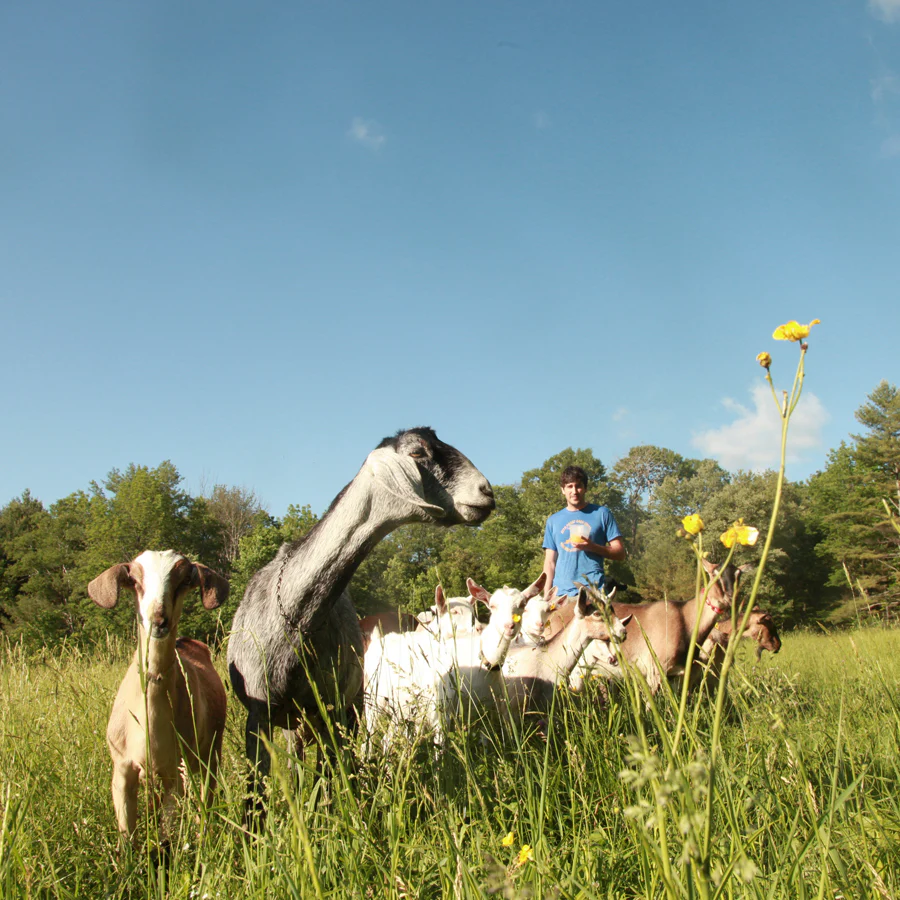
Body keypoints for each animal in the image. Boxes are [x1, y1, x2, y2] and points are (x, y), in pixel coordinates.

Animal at [88, 550, 229, 847]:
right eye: (134, 580)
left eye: (184, 580)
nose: (158, 620)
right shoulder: (122, 769)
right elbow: (126, 836)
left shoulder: (171, 770)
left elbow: (165, 835)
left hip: (208, 752)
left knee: (204, 795)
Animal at [227, 427, 494, 816]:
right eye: (418, 452)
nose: (486, 491)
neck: (296, 619)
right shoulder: (257, 716)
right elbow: (255, 800)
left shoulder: (334, 712)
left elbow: (330, 783)